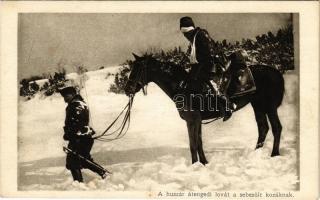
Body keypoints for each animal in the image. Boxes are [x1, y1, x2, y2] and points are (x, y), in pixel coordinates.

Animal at [125, 54, 284, 165]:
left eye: (137, 70)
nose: (127, 89)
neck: (183, 87)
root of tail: (276, 72)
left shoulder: (191, 120)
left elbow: (193, 144)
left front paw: (195, 164)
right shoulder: (196, 121)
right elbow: (198, 142)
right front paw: (202, 163)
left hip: (269, 107)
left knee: (276, 128)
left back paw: (274, 154)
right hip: (258, 106)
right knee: (263, 128)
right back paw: (256, 153)